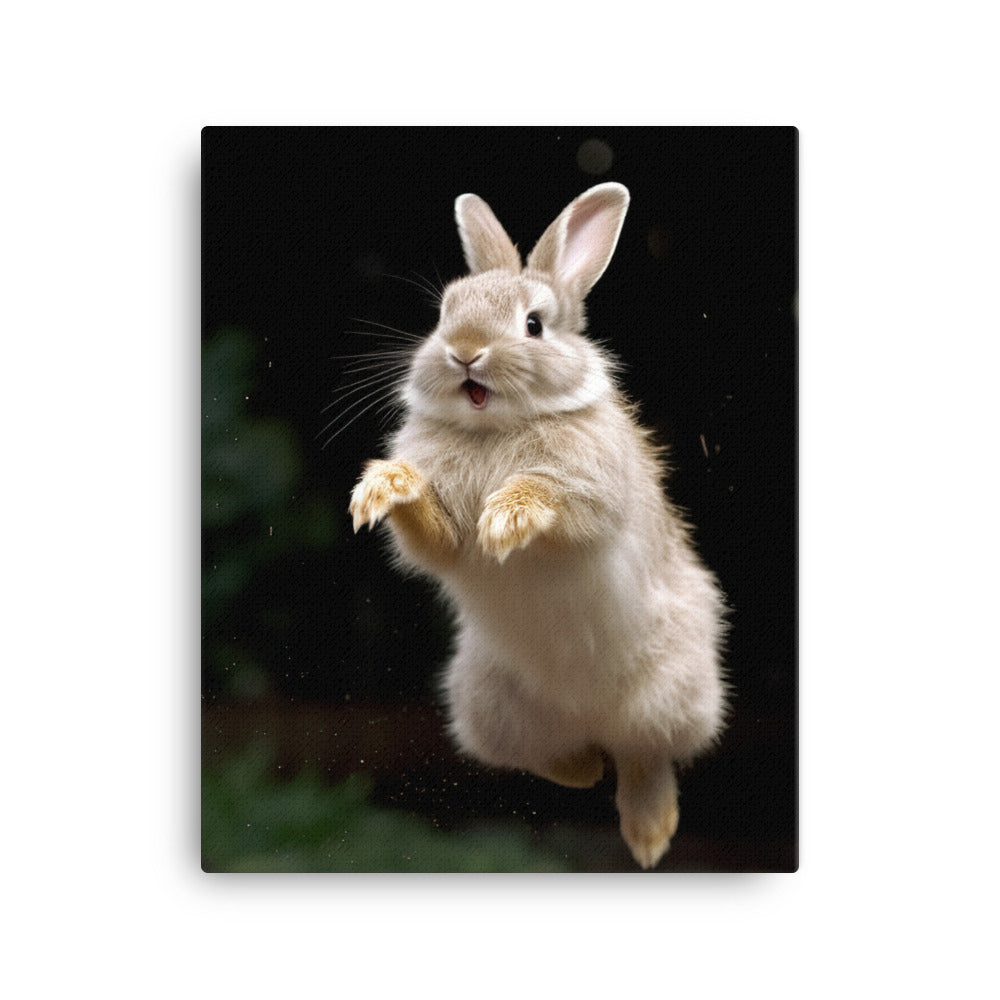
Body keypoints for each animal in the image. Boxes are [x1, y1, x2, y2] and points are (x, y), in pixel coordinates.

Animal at [349, 182, 727, 869]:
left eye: (533, 325)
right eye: (444, 313)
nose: (464, 351)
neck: (495, 428)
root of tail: (589, 717)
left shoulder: (593, 495)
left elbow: (557, 498)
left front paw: (508, 516)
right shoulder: (443, 541)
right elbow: (435, 538)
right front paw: (386, 487)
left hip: (673, 695)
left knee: (645, 757)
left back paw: (650, 836)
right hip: (484, 705)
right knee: (560, 761)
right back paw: (585, 769)